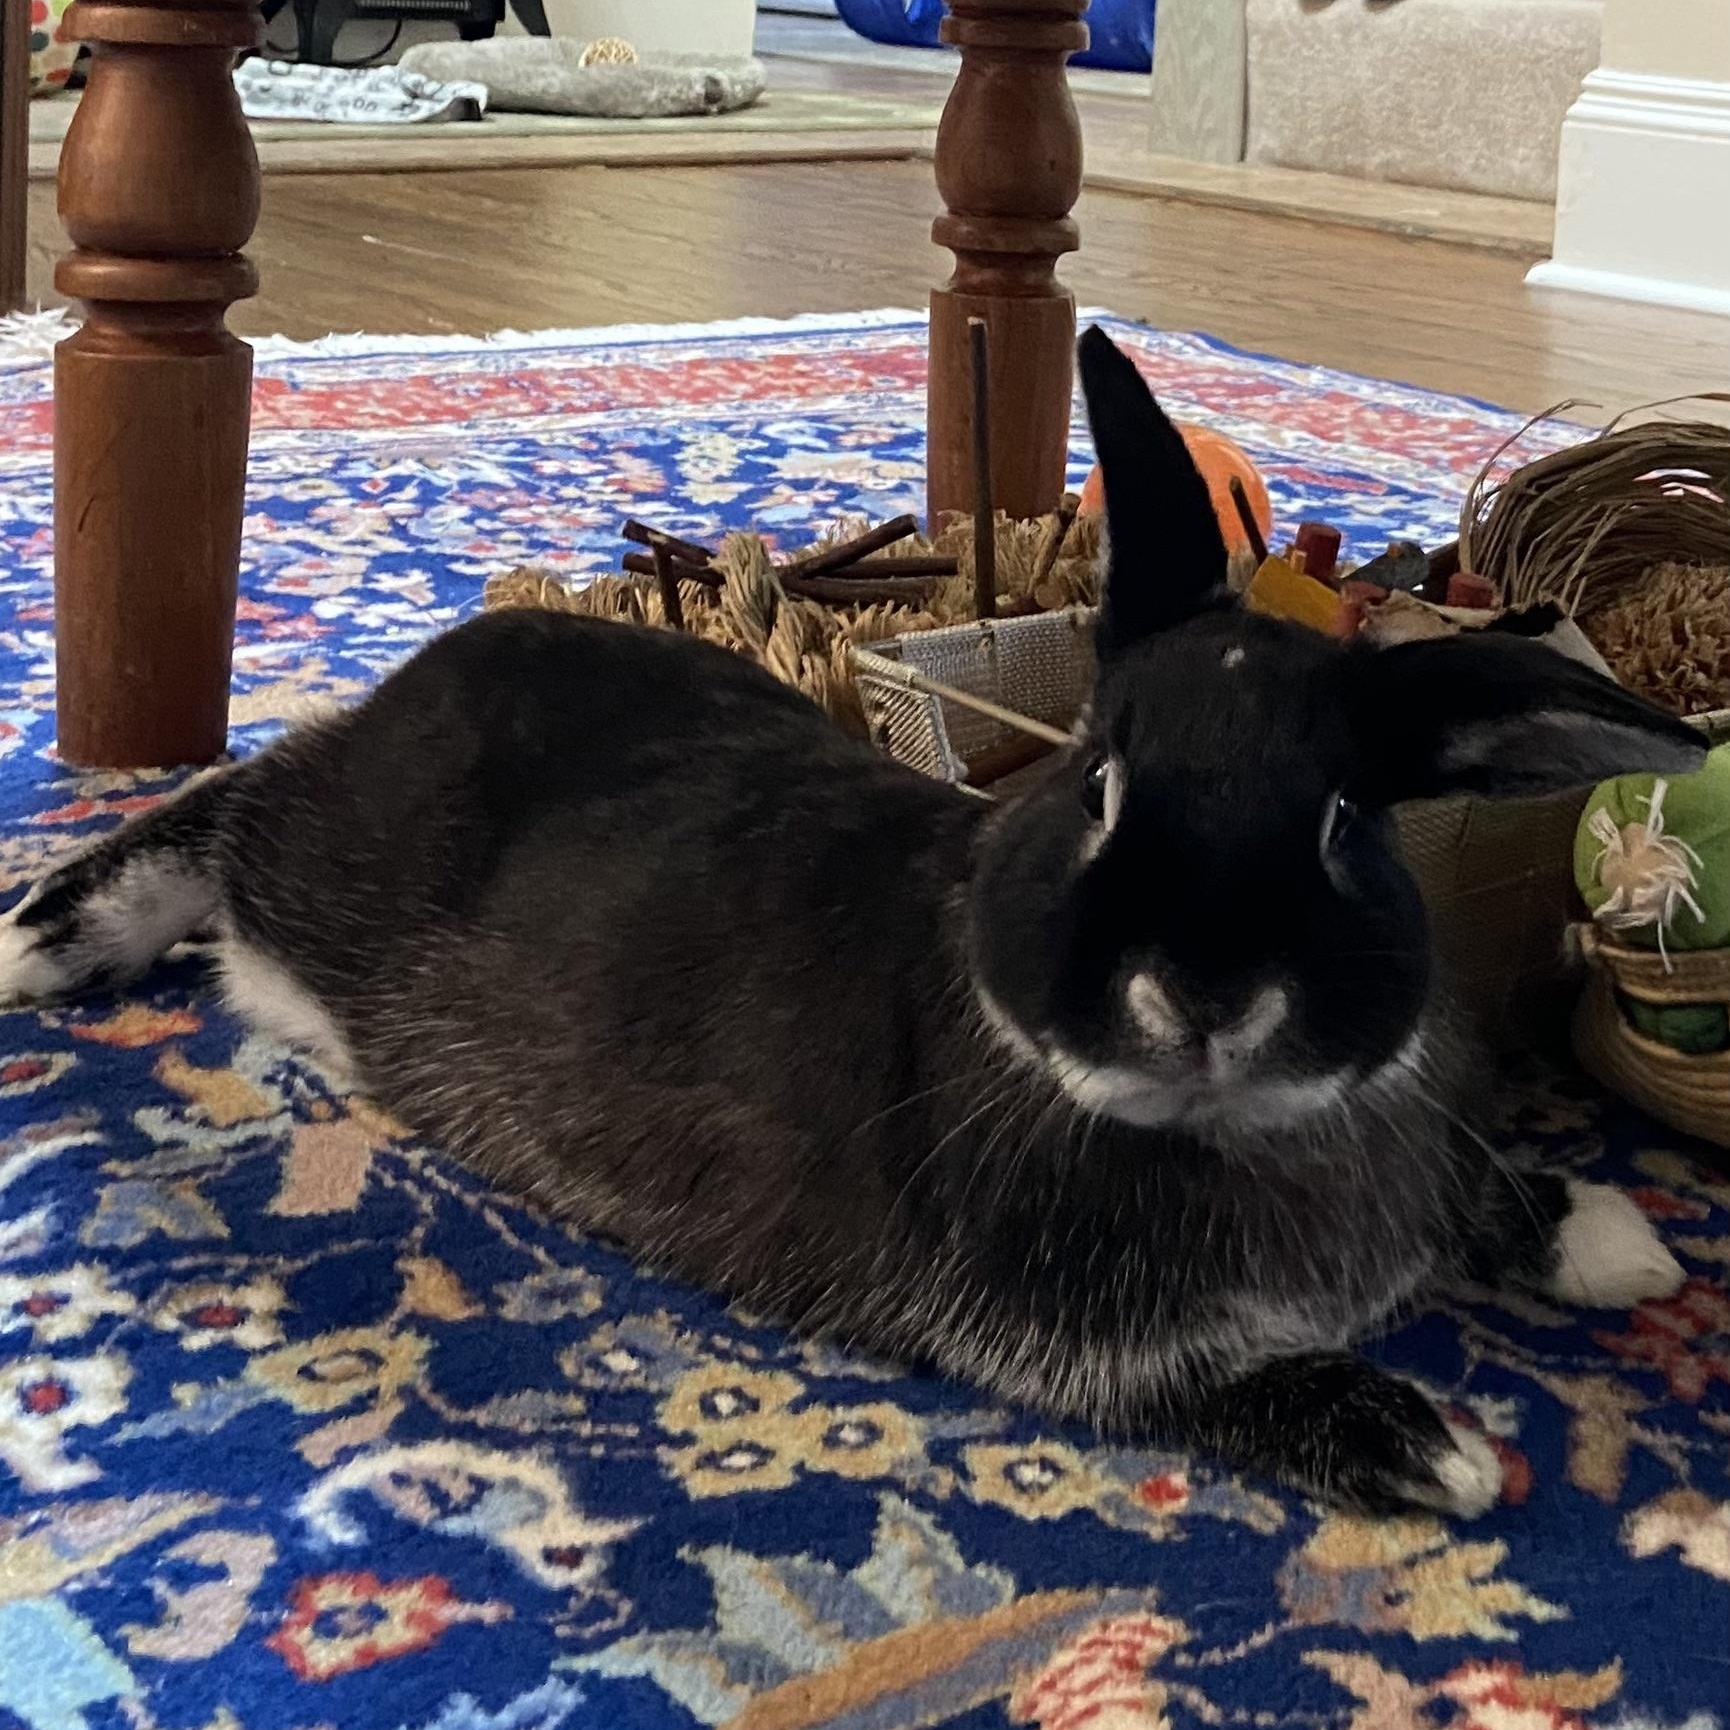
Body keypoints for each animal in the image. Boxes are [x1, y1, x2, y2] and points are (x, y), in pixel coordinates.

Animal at [0, 328, 1704, 1517]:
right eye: (1098, 783)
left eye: (1348, 826)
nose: (1203, 996)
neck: (1240, 1125)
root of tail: (440, 658)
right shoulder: (1065, 1330)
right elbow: (1224, 1379)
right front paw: (1439, 1450)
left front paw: (1608, 1241)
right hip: (327, 853)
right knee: (231, 799)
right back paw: (45, 936)